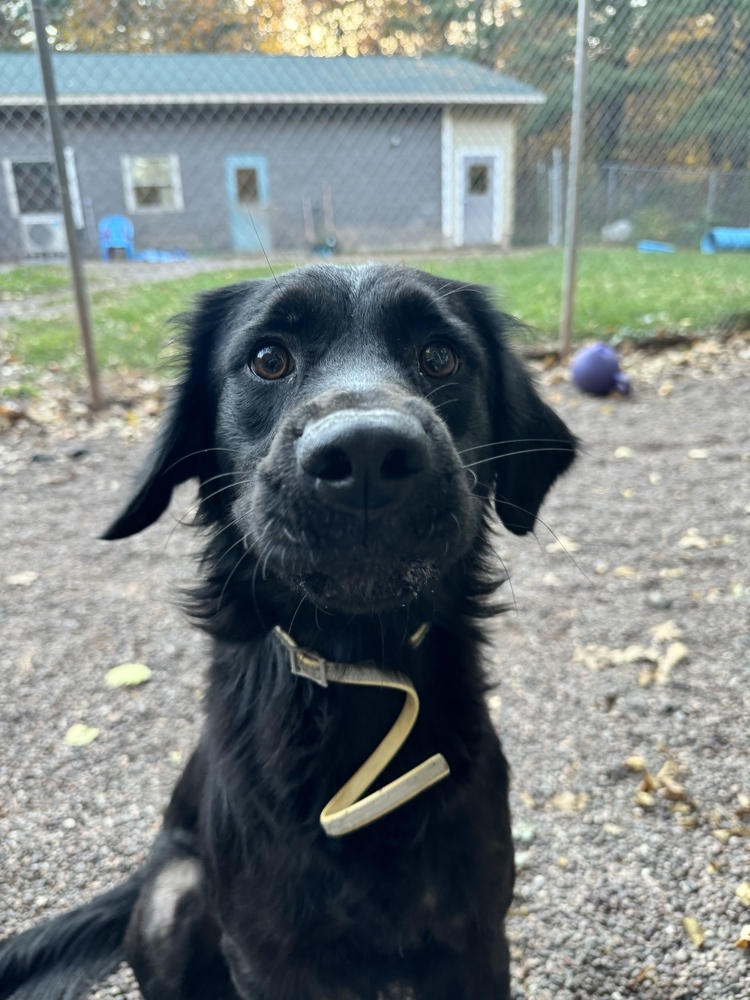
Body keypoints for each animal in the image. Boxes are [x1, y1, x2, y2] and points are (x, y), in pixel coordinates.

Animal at [0, 264, 576, 1000]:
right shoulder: (266, 955)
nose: (366, 451)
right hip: (172, 900)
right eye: (269, 359)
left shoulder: (475, 938)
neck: (357, 673)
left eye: (440, 357)